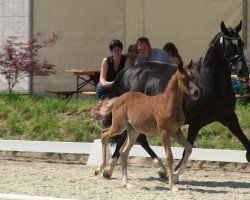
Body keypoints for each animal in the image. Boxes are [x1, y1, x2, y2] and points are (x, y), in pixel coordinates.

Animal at [94, 61, 200, 192]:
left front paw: (175, 174)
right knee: (104, 134)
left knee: (123, 151)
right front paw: (172, 185)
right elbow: (169, 157)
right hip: (118, 126)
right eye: (184, 78)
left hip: (132, 131)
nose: (196, 92)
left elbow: (189, 148)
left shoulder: (176, 132)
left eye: (193, 77)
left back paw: (126, 183)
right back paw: (99, 169)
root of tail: (119, 98)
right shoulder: (164, 132)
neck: (167, 104)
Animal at [102, 20, 249, 180]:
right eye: (228, 45)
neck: (208, 81)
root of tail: (127, 70)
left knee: (136, 138)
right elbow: (187, 148)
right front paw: (177, 172)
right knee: (127, 137)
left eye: (241, 43)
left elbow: (245, 141)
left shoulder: (229, 117)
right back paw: (110, 169)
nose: (243, 70)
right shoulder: (196, 123)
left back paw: (158, 169)